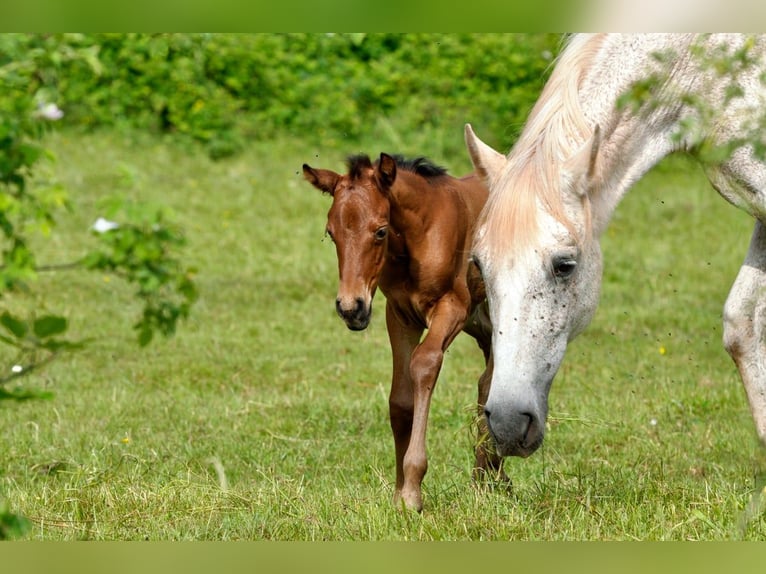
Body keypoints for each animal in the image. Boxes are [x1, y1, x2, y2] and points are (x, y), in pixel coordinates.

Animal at [303, 152, 504, 511]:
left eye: (380, 231)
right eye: (331, 232)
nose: (350, 307)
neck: (420, 234)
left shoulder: (452, 307)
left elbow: (424, 364)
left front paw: (412, 490)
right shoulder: (398, 314)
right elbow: (400, 399)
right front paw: (399, 492)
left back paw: (488, 476)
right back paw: (490, 475)